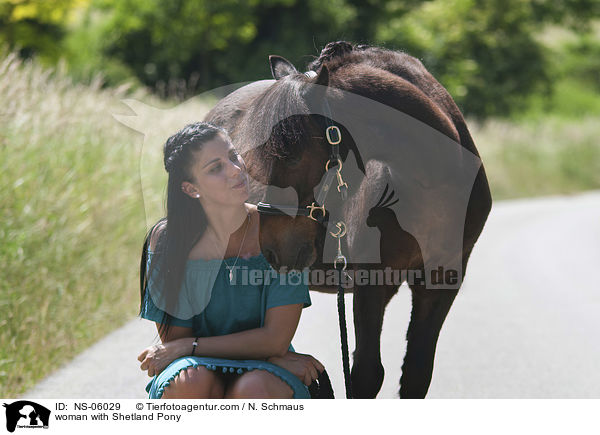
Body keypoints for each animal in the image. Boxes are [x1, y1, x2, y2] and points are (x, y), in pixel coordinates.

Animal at [206, 41, 492, 398]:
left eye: (293, 155)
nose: (273, 247)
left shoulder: (441, 280)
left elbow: (415, 371)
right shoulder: (371, 282)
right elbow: (367, 373)